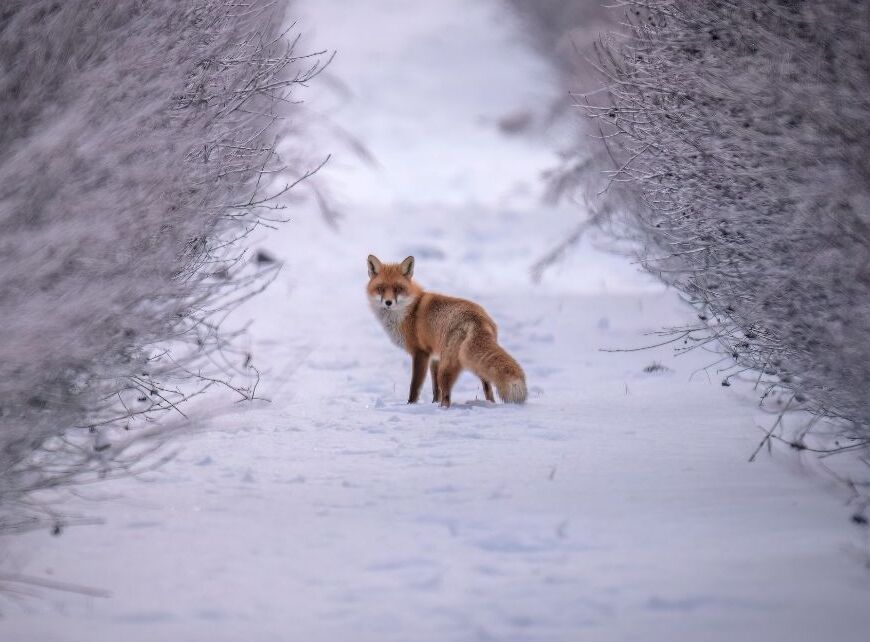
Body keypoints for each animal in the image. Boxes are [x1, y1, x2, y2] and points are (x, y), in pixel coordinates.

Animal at [366, 254, 528, 408]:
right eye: (380, 288)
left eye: (398, 289)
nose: (388, 302)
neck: (409, 310)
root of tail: (479, 318)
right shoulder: (434, 358)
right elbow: (435, 389)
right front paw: (433, 403)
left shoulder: (420, 353)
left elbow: (415, 387)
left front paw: (410, 406)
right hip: (471, 362)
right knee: (488, 390)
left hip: (447, 367)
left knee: (447, 396)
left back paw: (442, 410)